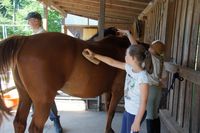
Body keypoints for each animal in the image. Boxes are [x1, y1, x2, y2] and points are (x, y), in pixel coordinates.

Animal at [0, 32, 130, 133]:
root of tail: (26, 40)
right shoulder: (118, 90)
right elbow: (111, 112)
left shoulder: (110, 91)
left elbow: (108, 110)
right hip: (43, 101)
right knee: (35, 128)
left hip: (25, 95)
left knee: (19, 123)